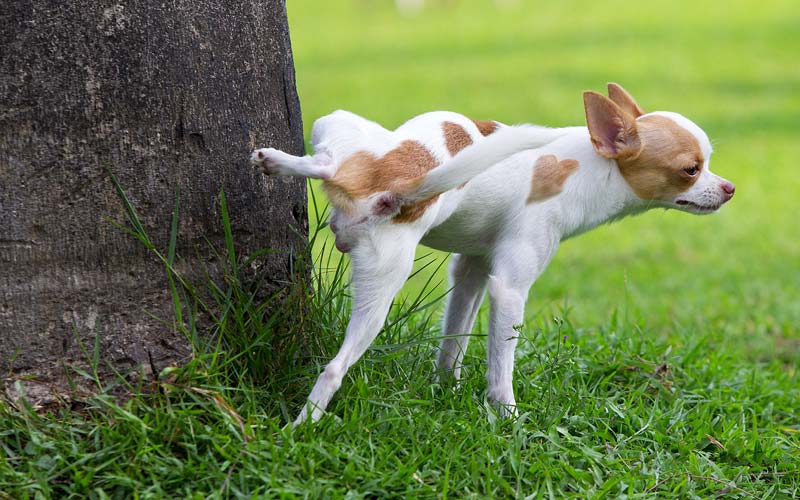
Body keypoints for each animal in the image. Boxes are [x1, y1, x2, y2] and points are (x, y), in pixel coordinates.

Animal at [252, 84, 736, 424]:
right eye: (691, 169)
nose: (730, 188)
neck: (588, 166)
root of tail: (396, 188)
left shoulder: (472, 271)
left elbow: (454, 342)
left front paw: (445, 391)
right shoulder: (509, 289)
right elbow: (501, 368)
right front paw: (508, 420)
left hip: (349, 159)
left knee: (329, 164)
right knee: (334, 368)